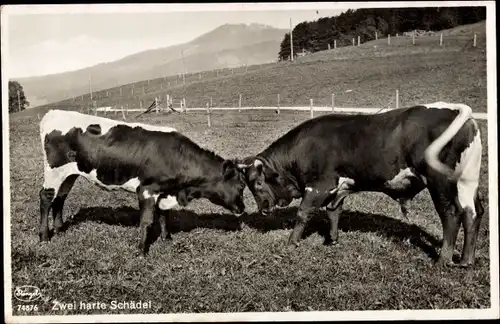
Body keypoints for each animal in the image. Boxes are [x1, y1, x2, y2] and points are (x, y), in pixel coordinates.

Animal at [39, 110, 246, 256]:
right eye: (241, 186)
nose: (242, 208)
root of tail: (54, 112)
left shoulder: (164, 191)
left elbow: (164, 216)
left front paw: (166, 238)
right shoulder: (147, 190)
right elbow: (146, 221)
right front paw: (141, 251)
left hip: (69, 174)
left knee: (60, 198)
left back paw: (59, 229)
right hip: (54, 171)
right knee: (47, 197)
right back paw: (44, 236)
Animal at [238, 102, 484, 268]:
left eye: (257, 183)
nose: (263, 209)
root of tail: (451, 109)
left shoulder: (318, 186)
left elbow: (303, 213)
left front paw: (292, 242)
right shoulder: (338, 188)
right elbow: (333, 212)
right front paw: (332, 240)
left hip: (439, 182)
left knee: (451, 214)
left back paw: (443, 260)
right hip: (467, 181)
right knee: (473, 213)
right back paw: (466, 260)